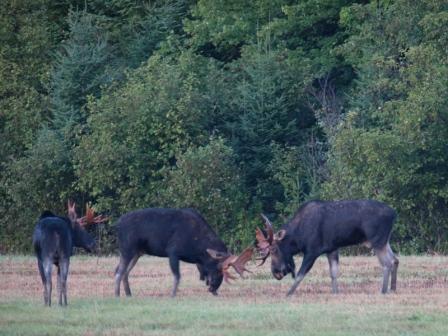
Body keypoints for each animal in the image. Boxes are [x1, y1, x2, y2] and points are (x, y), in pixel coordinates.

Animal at [114, 207, 254, 296]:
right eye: (219, 270)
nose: (213, 289)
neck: (197, 251)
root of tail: (116, 224)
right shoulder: (173, 252)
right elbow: (177, 276)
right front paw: (173, 295)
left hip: (137, 252)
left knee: (123, 271)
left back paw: (128, 294)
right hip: (127, 248)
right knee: (119, 272)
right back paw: (117, 295)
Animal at [256, 200, 400, 296]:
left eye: (273, 249)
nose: (276, 272)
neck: (298, 238)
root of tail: (394, 214)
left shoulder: (312, 251)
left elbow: (300, 274)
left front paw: (288, 294)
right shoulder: (332, 249)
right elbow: (333, 273)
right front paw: (335, 293)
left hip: (377, 241)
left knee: (387, 263)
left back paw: (383, 290)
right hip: (385, 241)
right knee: (395, 259)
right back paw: (393, 289)